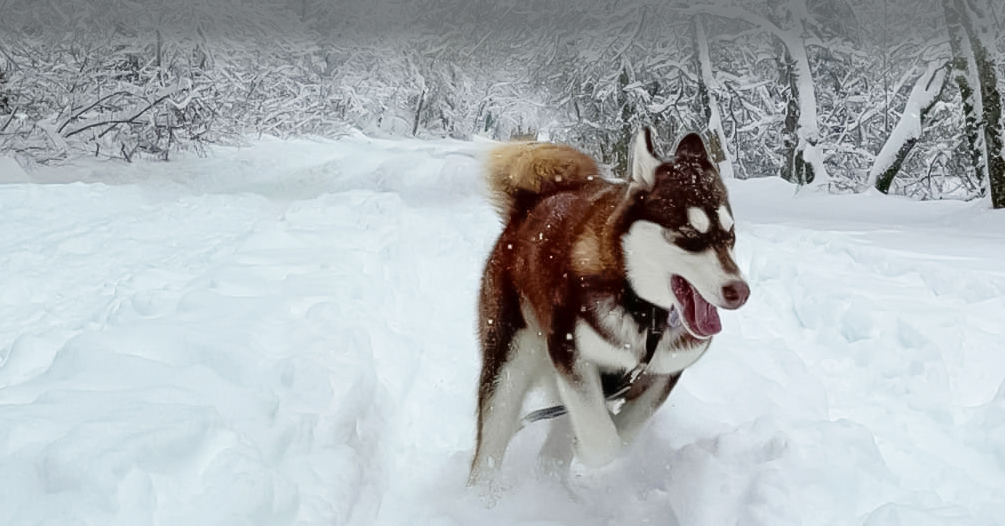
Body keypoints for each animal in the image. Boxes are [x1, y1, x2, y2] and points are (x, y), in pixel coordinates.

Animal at [468, 129, 747, 488]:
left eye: (731, 234)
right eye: (687, 233)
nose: (739, 291)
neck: (648, 316)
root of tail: (531, 204)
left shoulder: (663, 372)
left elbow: (626, 431)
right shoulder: (570, 353)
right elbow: (603, 439)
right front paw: (586, 446)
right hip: (510, 363)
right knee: (492, 441)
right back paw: (482, 496)